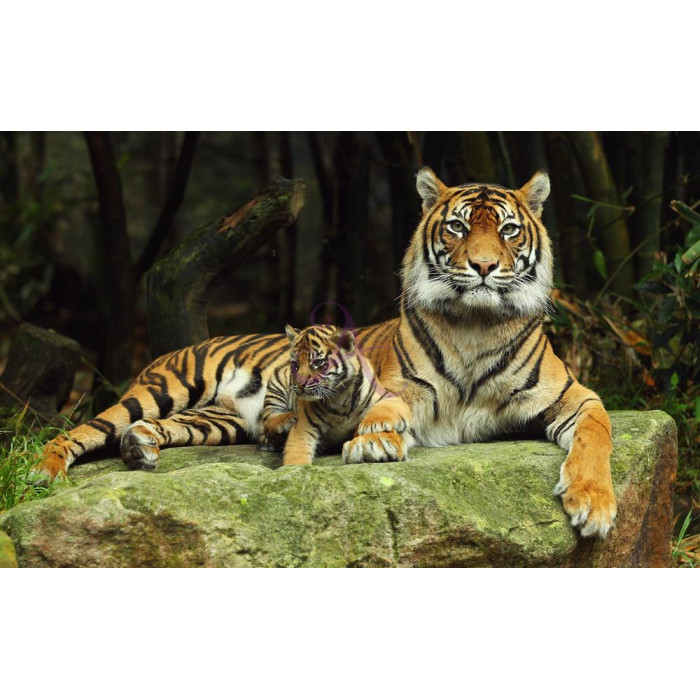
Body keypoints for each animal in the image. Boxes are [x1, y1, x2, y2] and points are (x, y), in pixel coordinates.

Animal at [260, 323, 413, 466]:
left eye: (317, 362)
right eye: (296, 364)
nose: (300, 384)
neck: (340, 397)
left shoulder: (389, 396)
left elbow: (384, 408)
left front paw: (372, 425)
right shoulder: (304, 427)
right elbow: (297, 453)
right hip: (277, 384)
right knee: (267, 420)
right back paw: (288, 419)